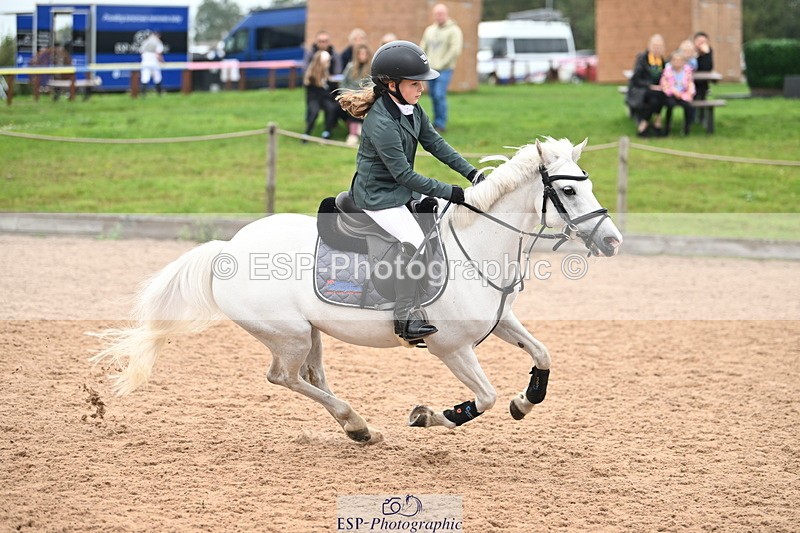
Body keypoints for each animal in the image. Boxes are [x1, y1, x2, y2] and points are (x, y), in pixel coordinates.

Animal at [90, 137, 623, 445]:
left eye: (588, 184)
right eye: (569, 191)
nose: (613, 241)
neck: (479, 245)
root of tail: (228, 249)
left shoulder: (501, 322)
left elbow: (543, 355)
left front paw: (525, 400)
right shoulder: (451, 348)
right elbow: (485, 398)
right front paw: (434, 416)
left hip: (310, 332)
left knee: (312, 376)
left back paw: (356, 425)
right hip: (287, 334)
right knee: (283, 377)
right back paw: (356, 422)